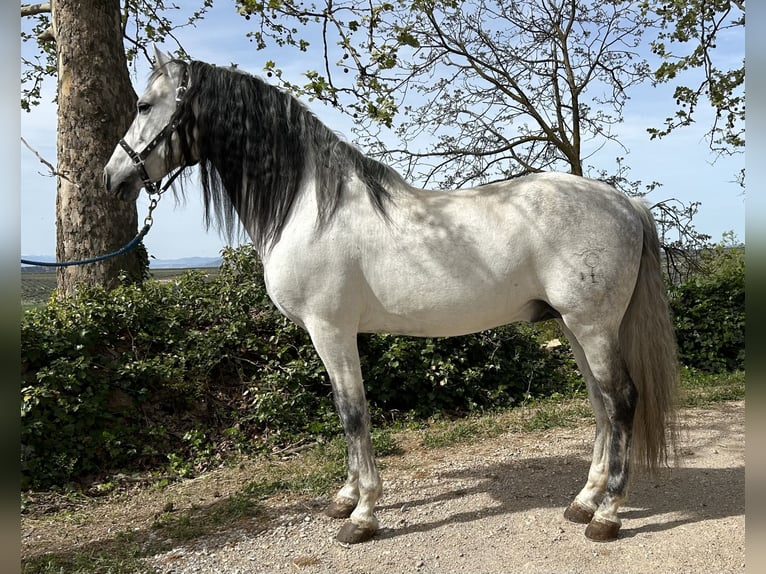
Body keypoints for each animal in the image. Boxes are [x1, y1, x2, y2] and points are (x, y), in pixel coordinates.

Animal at [105, 47, 680, 548]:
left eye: (143, 105)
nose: (112, 178)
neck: (310, 206)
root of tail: (626, 203)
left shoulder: (331, 330)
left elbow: (352, 412)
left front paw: (362, 515)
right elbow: (346, 412)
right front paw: (346, 498)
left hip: (592, 325)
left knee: (621, 401)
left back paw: (606, 516)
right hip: (572, 325)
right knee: (601, 405)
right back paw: (584, 501)